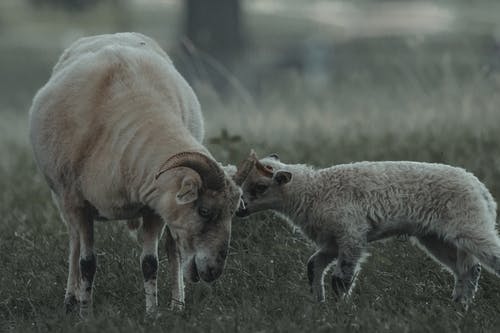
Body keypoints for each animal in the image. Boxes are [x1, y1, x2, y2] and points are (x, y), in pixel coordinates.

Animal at [234, 150, 500, 306]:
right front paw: (319, 304)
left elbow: (341, 277)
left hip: (469, 223)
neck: (312, 192)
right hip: (436, 237)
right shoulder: (332, 241)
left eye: (259, 187)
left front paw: (340, 309)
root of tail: (480, 188)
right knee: (468, 269)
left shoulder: (351, 234)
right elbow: (313, 265)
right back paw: (459, 306)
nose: (239, 209)